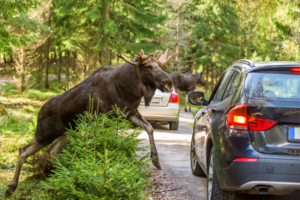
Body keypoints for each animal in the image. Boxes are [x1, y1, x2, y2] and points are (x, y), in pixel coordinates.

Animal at [5, 48, 176, 195]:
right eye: (147, 66)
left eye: (159, 65)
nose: (168, 82)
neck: (128, 91)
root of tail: (39, 113)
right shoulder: (102, 119)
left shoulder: (129, 114)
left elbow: (149, 128)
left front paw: (155, 160)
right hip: (44, 134)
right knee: (24, 150)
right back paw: (12, 187)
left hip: (66, 134)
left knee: (51, 151)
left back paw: (65, 173)